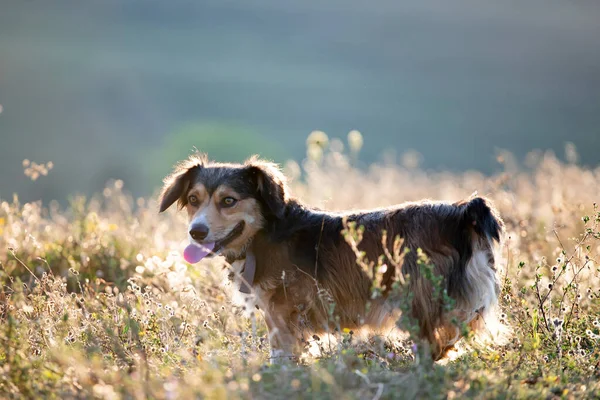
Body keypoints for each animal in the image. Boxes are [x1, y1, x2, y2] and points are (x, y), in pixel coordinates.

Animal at [159, 153, 506, 362]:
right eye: (194, 199)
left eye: (228, 201)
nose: (196, 232)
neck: (267, 232)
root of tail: (462, 212)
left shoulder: (281, 316)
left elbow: (281, 358)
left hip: (416, 302)